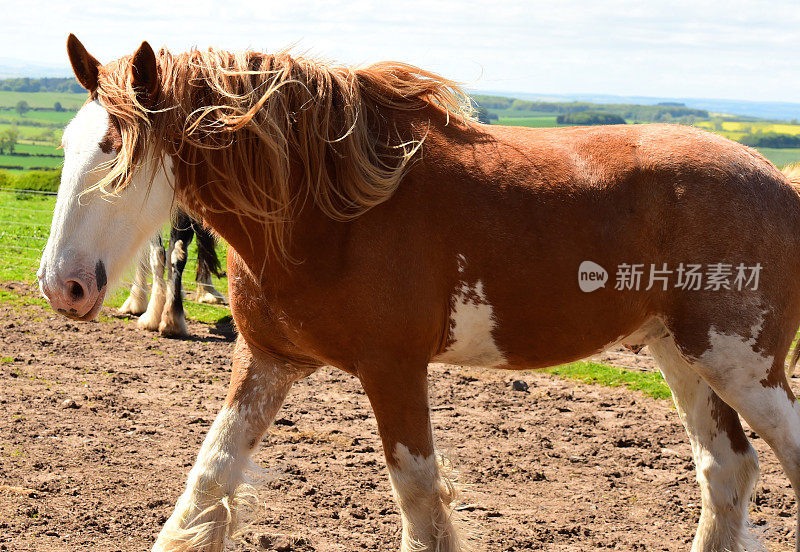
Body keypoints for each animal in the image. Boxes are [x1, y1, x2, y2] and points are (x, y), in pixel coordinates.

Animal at [37, 34, 800, 552]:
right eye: (71, 143)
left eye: (115, 149)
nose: (62, 285)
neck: (328, 213)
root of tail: (778, 181)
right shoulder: (267, 362)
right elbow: (210, 476)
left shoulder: (393, 369)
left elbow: (418, 493)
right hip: (684, 357)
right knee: (727, 470)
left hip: (744, 368)